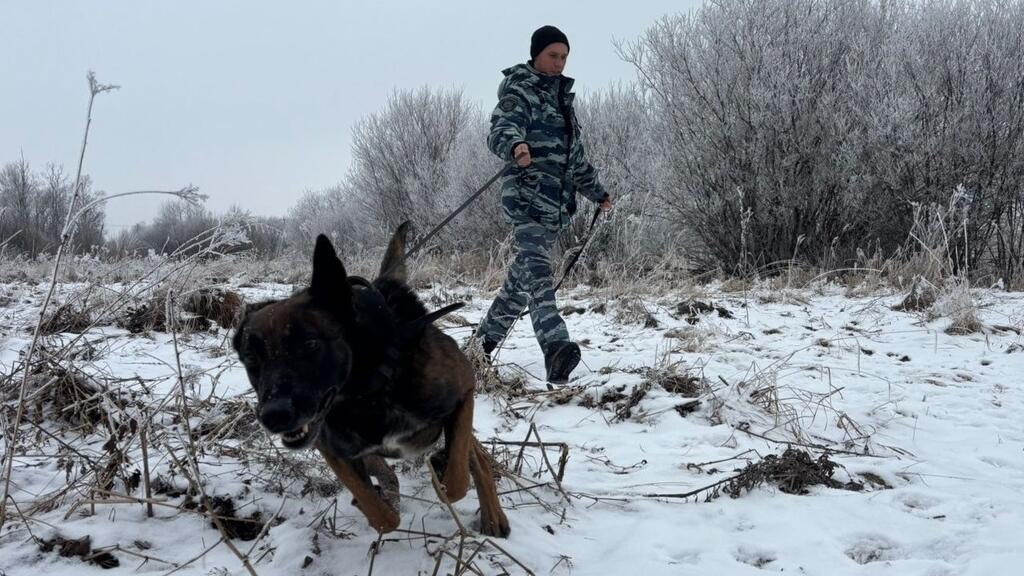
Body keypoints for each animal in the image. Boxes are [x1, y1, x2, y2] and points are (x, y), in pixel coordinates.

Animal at [235, 222, 516, 537]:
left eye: (309, 344)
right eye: (250, 359)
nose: (274, 415)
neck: (367, 389)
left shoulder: (464, 392)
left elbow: (456, 481)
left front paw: (442, 469)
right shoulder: (331, 448)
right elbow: (381, 515)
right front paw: (379, 500)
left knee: (474, 458)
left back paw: (491, 515)